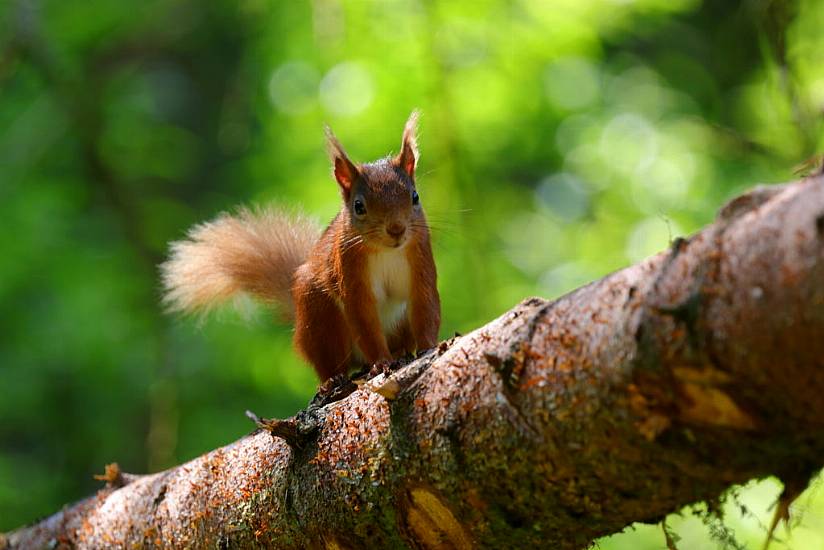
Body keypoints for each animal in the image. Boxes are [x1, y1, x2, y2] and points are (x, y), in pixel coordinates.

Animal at [163, 111, 440, 380]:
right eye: (359, 206)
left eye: (415, 196)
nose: (396, 229)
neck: (386, 251)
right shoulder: (350, 270)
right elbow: (364, 319)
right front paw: (382, 362)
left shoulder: (421, 258)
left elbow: (426, 304)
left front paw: (429, 347)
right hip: (319, 314)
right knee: (329, 362)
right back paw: (334, 378)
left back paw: (401, 351)